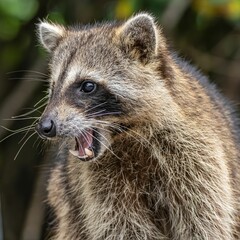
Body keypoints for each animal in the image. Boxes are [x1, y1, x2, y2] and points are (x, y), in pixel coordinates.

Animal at [35, 13, 240, 240]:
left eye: (87, 86)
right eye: (54, 87)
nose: (45, 126)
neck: (129, 135)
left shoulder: (198, 156)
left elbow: (204, 223)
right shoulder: (100, 184)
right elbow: (122, 227)